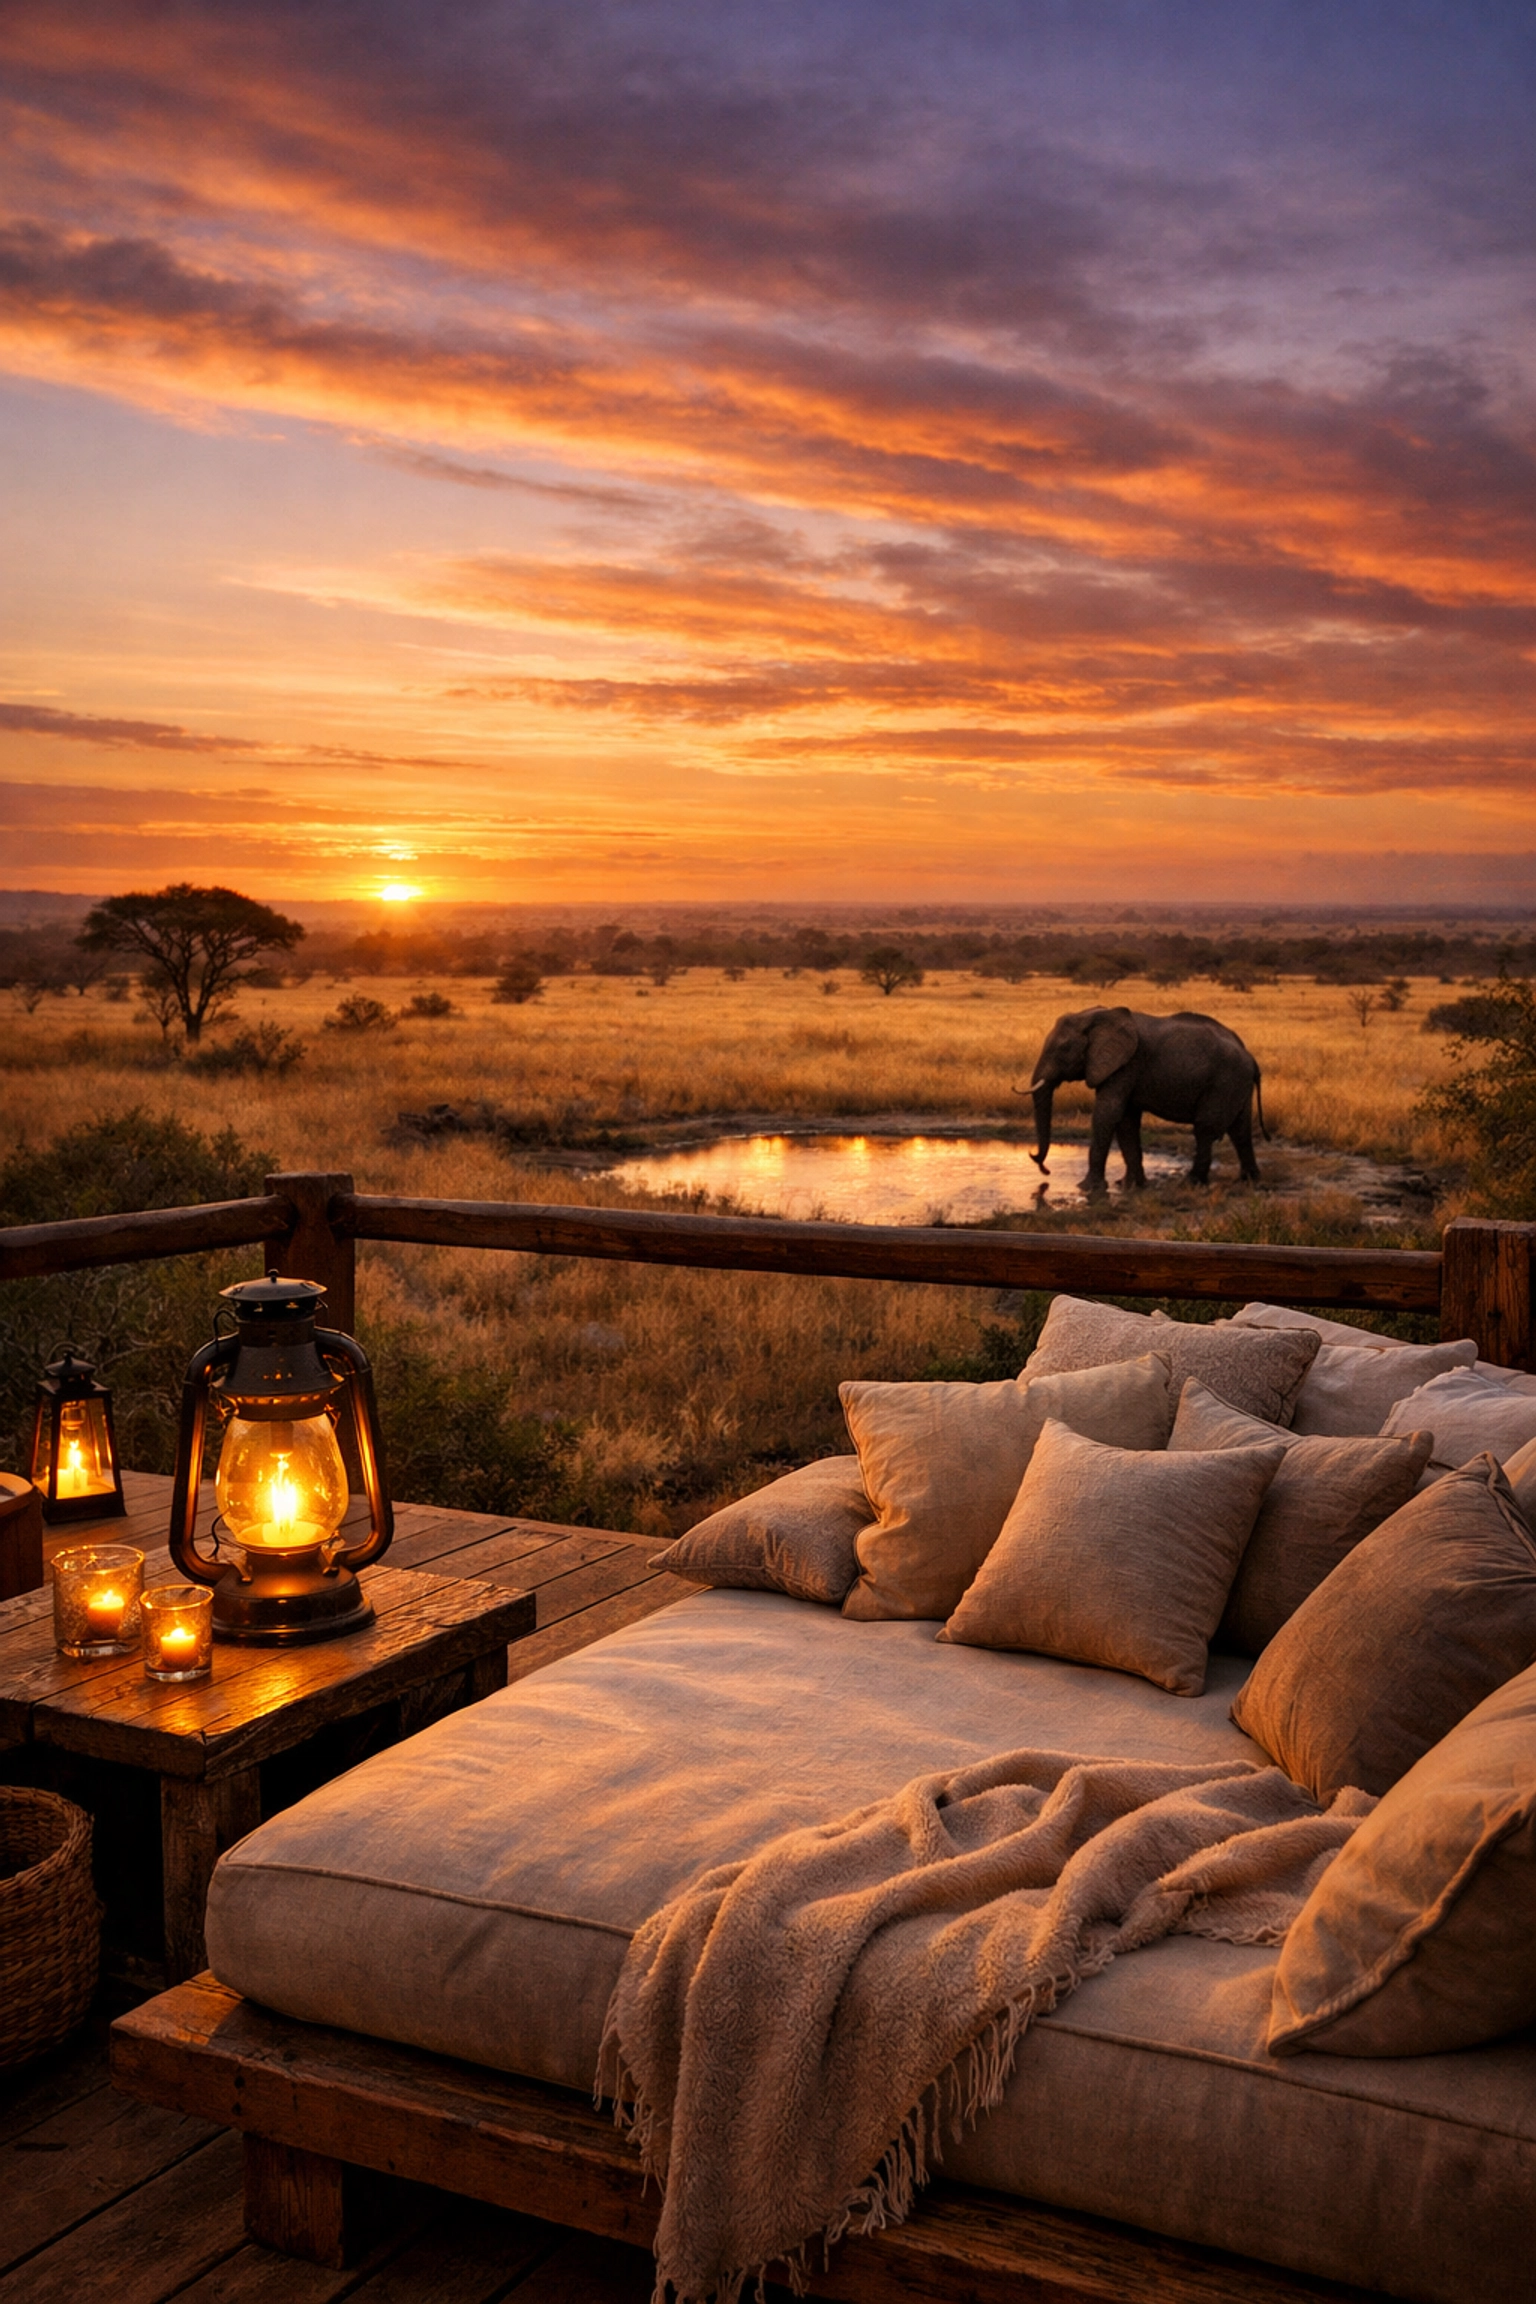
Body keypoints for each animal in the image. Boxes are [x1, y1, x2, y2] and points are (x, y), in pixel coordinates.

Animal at [1023, 1007, 1266, 1190]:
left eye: (1064, 1048)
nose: (1045, 1170)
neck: (1096, 1015)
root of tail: (1251, 1058)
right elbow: (1126, 1122)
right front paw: (1129, 1185)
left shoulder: (1127, 1064)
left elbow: (1107, 1113)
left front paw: (1087, 1188)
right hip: (1236, 1083)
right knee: (1240, 1130)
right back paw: (1249, 1180)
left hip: (1224, 1081)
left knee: (1205, 1129)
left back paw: (1191, 1183)